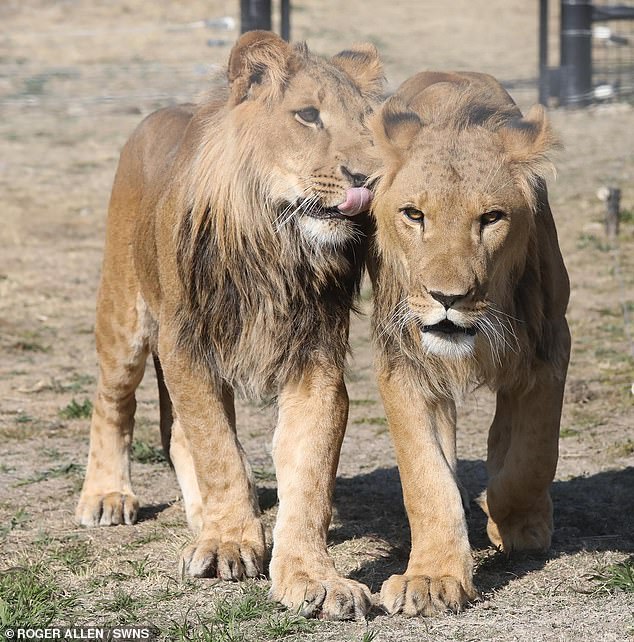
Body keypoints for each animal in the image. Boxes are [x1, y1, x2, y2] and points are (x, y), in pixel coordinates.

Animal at [75, 31, 384, 621]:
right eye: (308, 115)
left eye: (370, 122)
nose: (370, 179)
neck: (274, 245)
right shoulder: (186, 344)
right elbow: (217, 448)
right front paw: (227, 546)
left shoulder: (316, 360)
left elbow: (308, 472)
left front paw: (313, 577)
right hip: (125, 317)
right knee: (113, 402)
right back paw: (106, 496)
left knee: (176, 434)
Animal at [367, 71, 571, 616]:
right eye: (414, 215)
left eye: (492, 218)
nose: (447, 298)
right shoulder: (403, 362)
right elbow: (426, 478)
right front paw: (431, 579)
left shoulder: (549, 347)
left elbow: (532, 455)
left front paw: (514, 523)